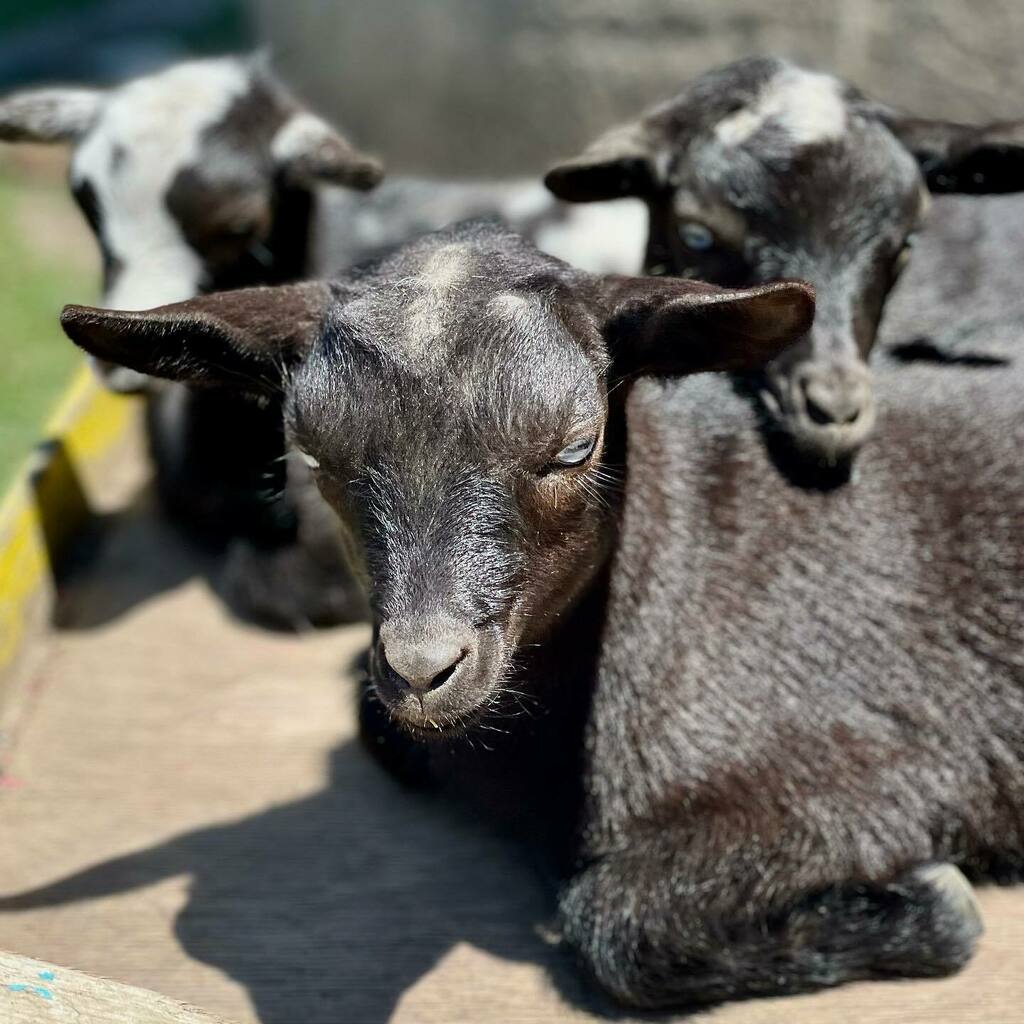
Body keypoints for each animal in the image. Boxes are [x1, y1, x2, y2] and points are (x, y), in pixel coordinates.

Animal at [58, 221, 1022, 1010]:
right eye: (314, 457)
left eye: (575, 446)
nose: (422, 668)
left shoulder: (884, 767)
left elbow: (612, 920)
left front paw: (934, 901)